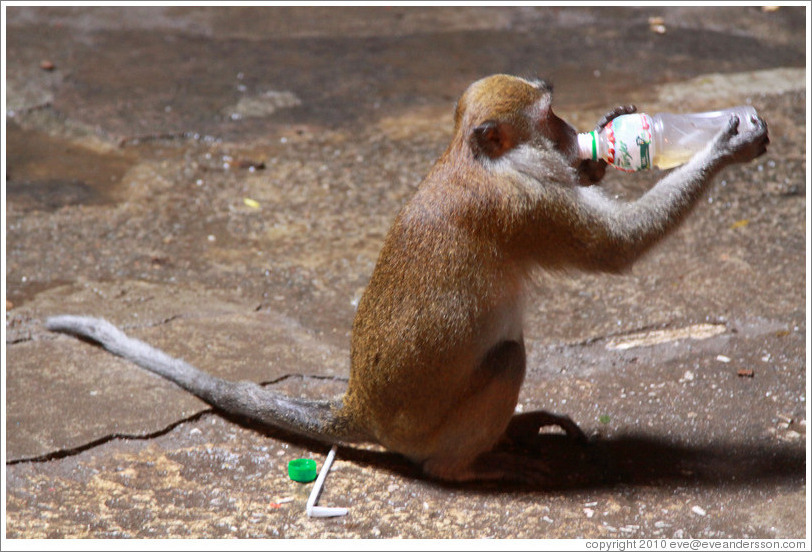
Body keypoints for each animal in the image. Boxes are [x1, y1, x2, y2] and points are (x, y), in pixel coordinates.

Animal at [47, 74, 772, 484]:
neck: (475, 159)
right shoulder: (528, 206)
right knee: (505, 360)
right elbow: (617, 250)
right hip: (428, 430)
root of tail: (361, 405)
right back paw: (468, 468)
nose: (577, 137)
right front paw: (725, 142)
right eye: (551, 119)